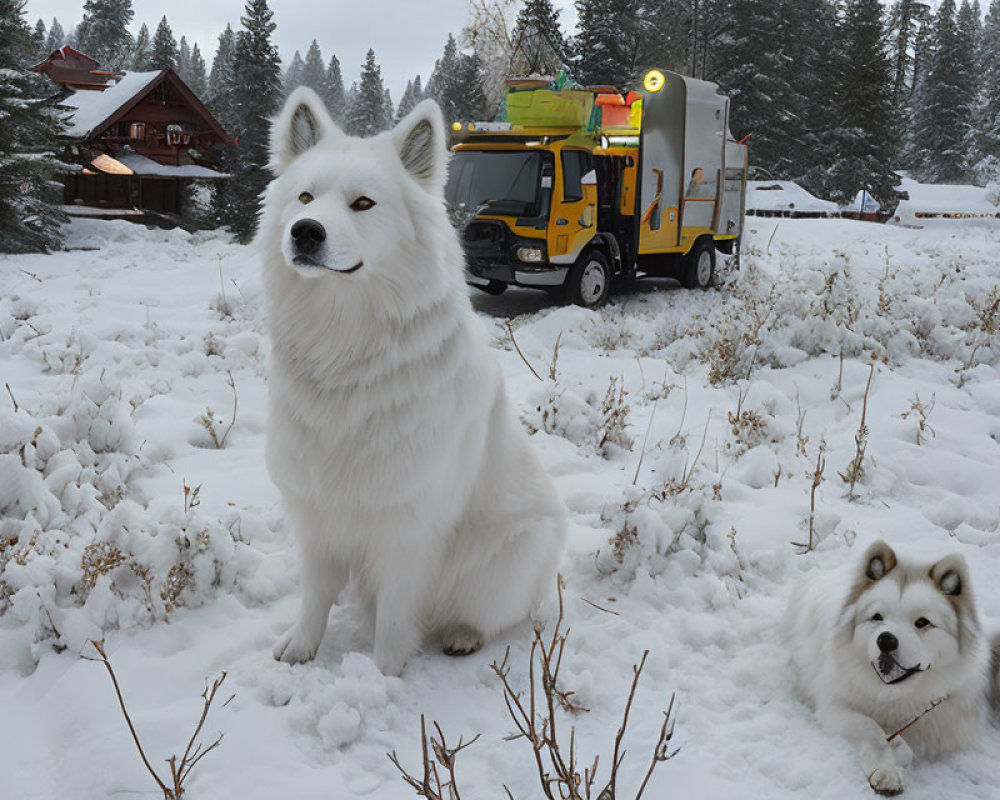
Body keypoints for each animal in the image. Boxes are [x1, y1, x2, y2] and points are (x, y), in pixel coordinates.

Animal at [258, 87, 568, 676]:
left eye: (363, 204)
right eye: (305, 197)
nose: (304, 232)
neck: (345, 344)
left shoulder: (407, 524)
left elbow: (396, 614)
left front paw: (380, 675)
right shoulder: (315, 511)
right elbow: (314, 595)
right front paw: (301, 647)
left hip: (507, 557)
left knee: (492, 614)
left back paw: (464, 635)